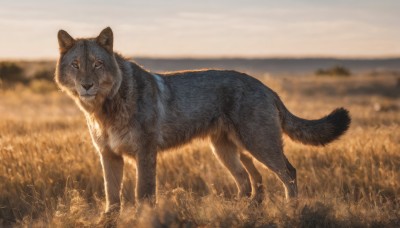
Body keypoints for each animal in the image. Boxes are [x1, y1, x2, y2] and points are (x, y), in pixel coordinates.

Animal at [55, 27, 350, 215]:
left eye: (97, 63)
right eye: (76, 65)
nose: (86, 86)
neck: (104, 108)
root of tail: (265, 86)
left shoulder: (145, 152)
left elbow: (143, 192)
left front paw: (142, 217)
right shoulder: (109, 155)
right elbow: (111, 193)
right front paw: (109, 219)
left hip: (259, 143)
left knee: (287, 172)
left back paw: (291, 209)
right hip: (228, 149)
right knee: (249, 179)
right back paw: (244, 209)